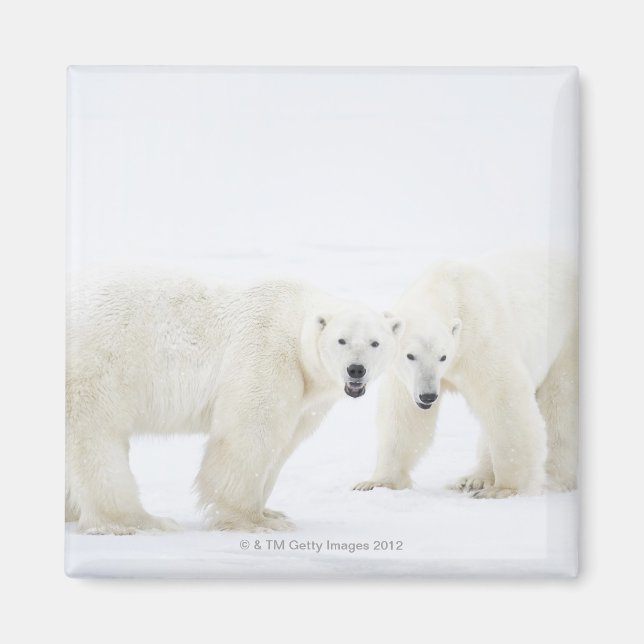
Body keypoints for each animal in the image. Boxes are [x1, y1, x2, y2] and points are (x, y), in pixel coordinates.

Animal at [66, 270, 403, 533]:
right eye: (341, 340)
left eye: (375, 342)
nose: (356, 370)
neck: (292, 317)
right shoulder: (267, 352)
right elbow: (249, 433)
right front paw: (256, 521)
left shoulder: (308, 398)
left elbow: (285, 442)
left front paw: (272, 512)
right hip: (101, 363)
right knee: (97, 436)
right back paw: (139, 521)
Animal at [354, 251, 578, 498]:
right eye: (410, 355)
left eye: (443, 356)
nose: (428, 396)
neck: (450, 287)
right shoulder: (407, 378)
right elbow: (403, 414)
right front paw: (376, 483)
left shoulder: (481, 341)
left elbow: (504, 401)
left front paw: (504, 489)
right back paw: (472, 479)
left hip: (566, 339)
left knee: (560, 404)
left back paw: (553, 480)